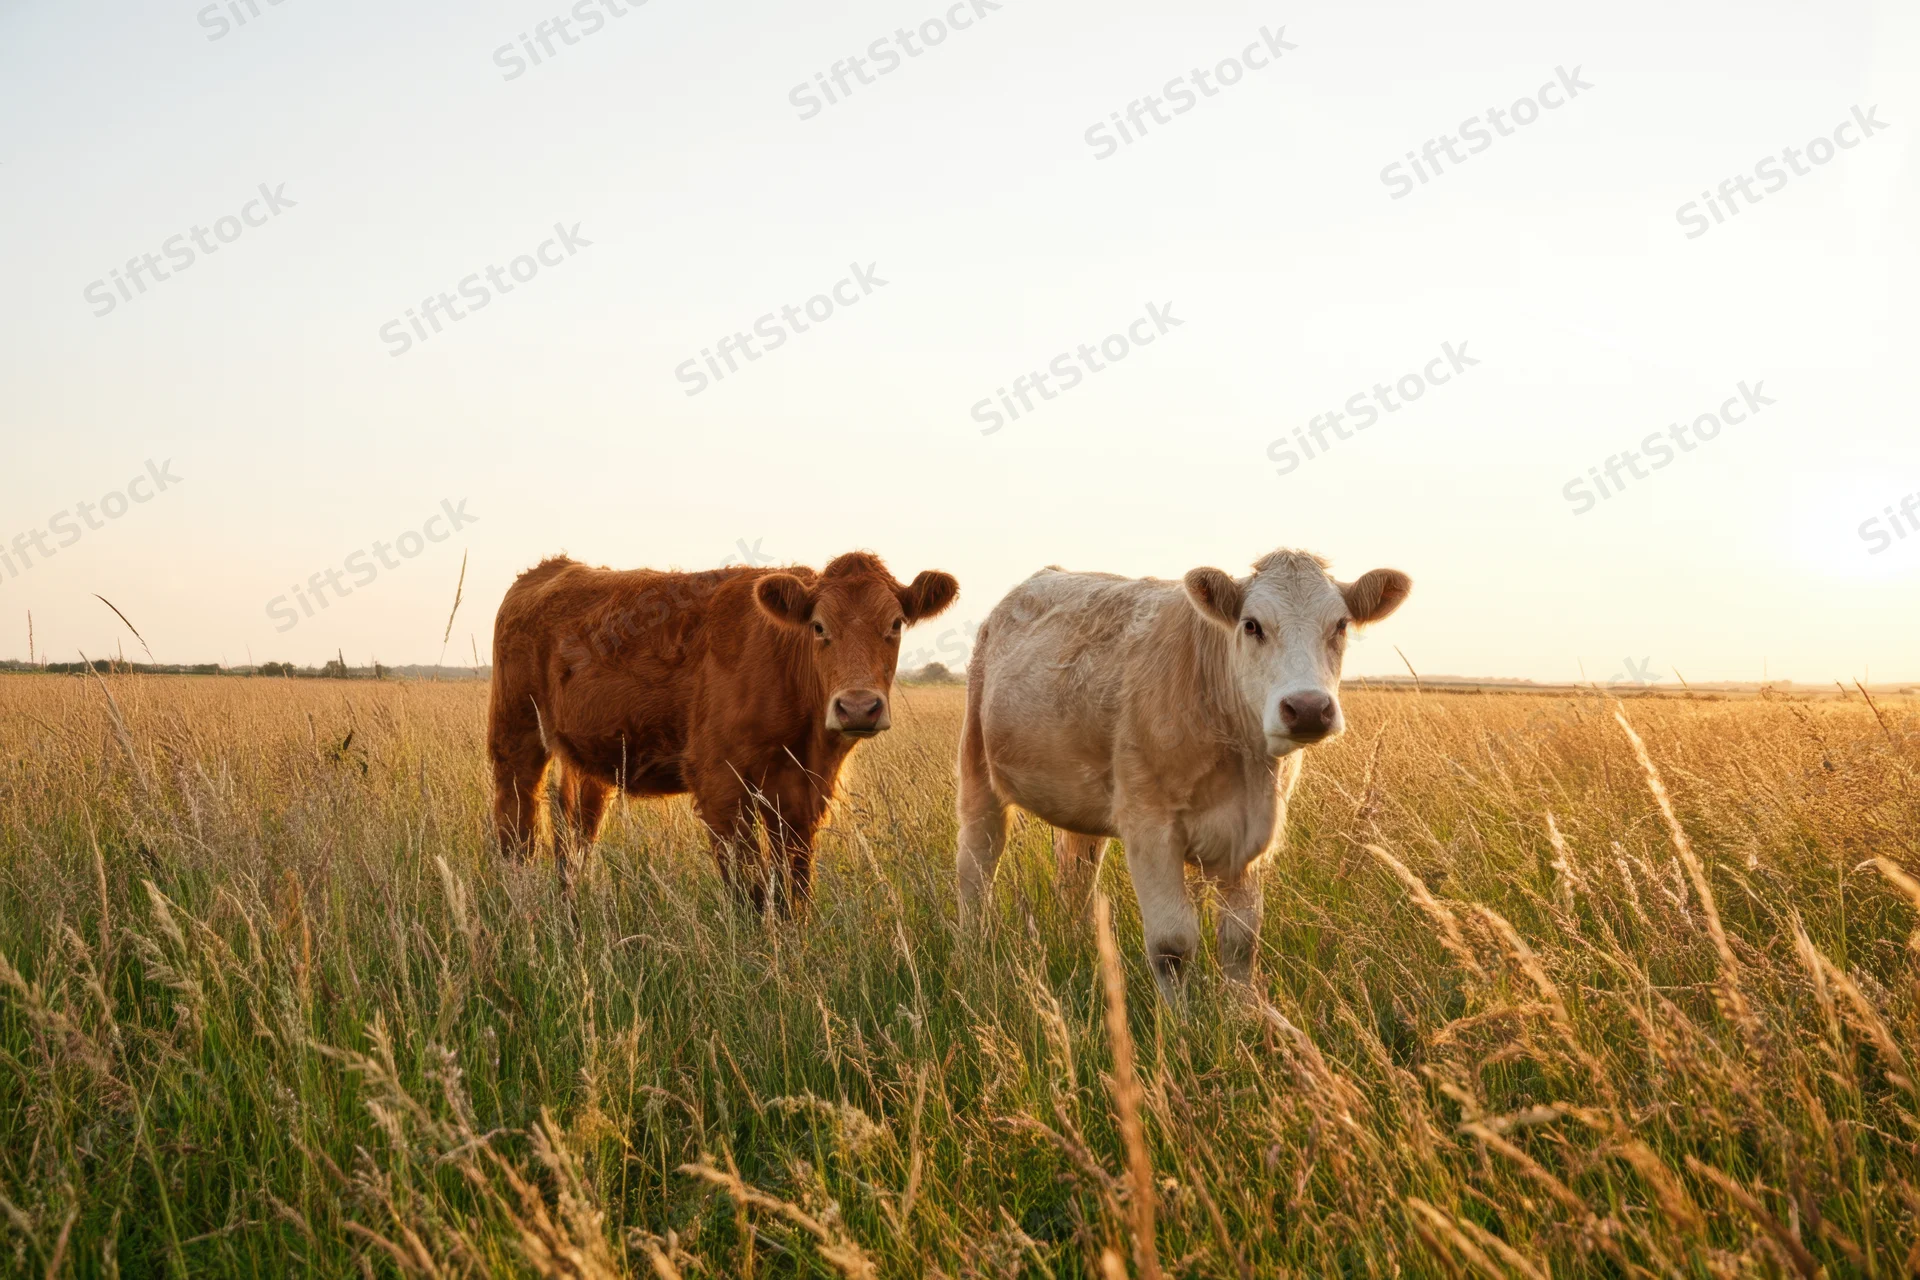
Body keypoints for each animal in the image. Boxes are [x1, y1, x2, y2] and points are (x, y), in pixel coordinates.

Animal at [489, 551, 958, 910]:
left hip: (589, 758)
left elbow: (796, 886)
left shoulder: (803, 793)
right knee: (516, 827)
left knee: (575, 832)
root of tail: (553, 567)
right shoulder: (720, 785)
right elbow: (751, 891)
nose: (858, 707)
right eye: (819, 626)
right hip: (515, 736)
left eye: (895, 624)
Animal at [955, 550, 1410, 998]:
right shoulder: (1149, 827)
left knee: (1077, 874)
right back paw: (973, 950)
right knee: (976, 865)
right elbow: (1172, 945)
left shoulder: (1251, 839)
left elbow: (1241, 942)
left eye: (1340, 625)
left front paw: (1243, 1010)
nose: (1308, 708)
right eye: (1252, 625)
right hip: (977, 768)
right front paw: (1179, 1019)